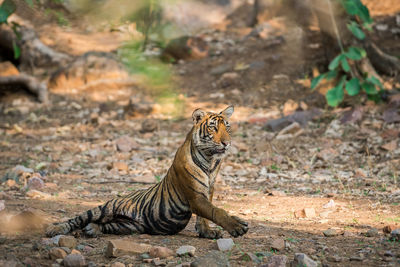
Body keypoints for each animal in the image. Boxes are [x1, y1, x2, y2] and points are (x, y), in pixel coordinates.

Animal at [46, 105, 247, 240]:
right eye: (213, 127)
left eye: (227, 127)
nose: (227, 143)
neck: (210, 160)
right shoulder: (196, 197)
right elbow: (216, 211)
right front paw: (237, 226)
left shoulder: (208, 190)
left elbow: (206, 215)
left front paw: (206, 231)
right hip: (104, 208)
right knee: (77, 219)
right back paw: (55, 230)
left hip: (126, 226)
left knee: (105, 225)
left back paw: (92, 230)